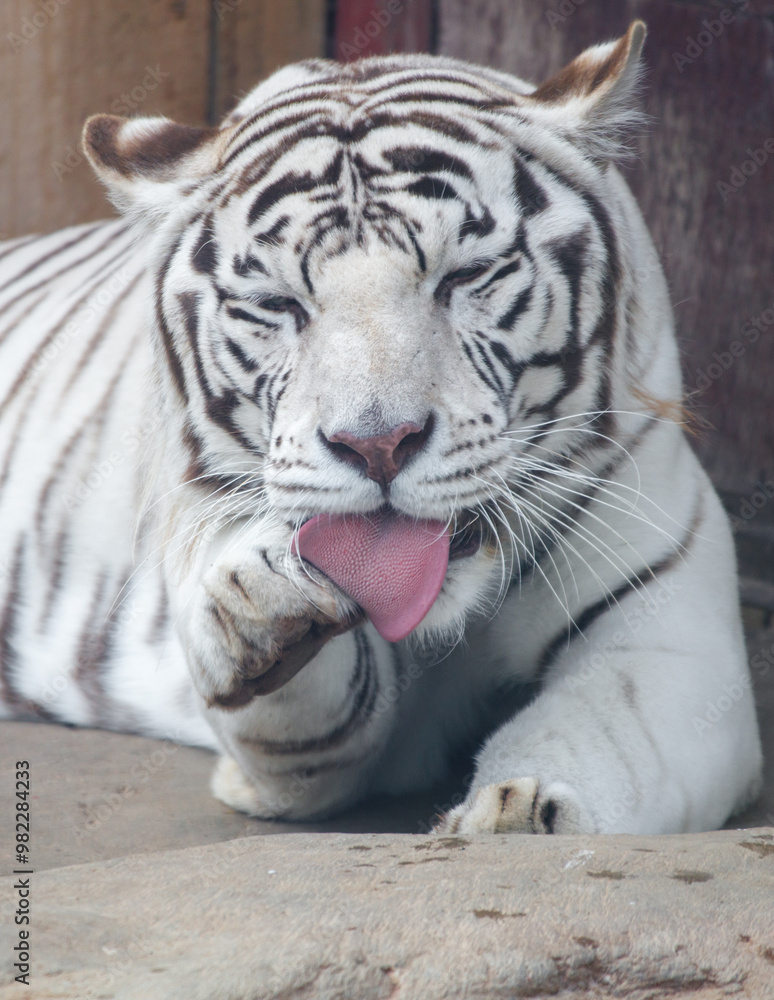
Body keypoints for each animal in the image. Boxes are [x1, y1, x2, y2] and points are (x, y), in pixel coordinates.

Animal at [0, 22, 762, 835]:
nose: (377, 445)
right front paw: (261, 608)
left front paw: (521, 812)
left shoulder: (668, 639)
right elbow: (307, 715)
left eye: (465, 276)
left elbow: (597, 734)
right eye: (278, 304)